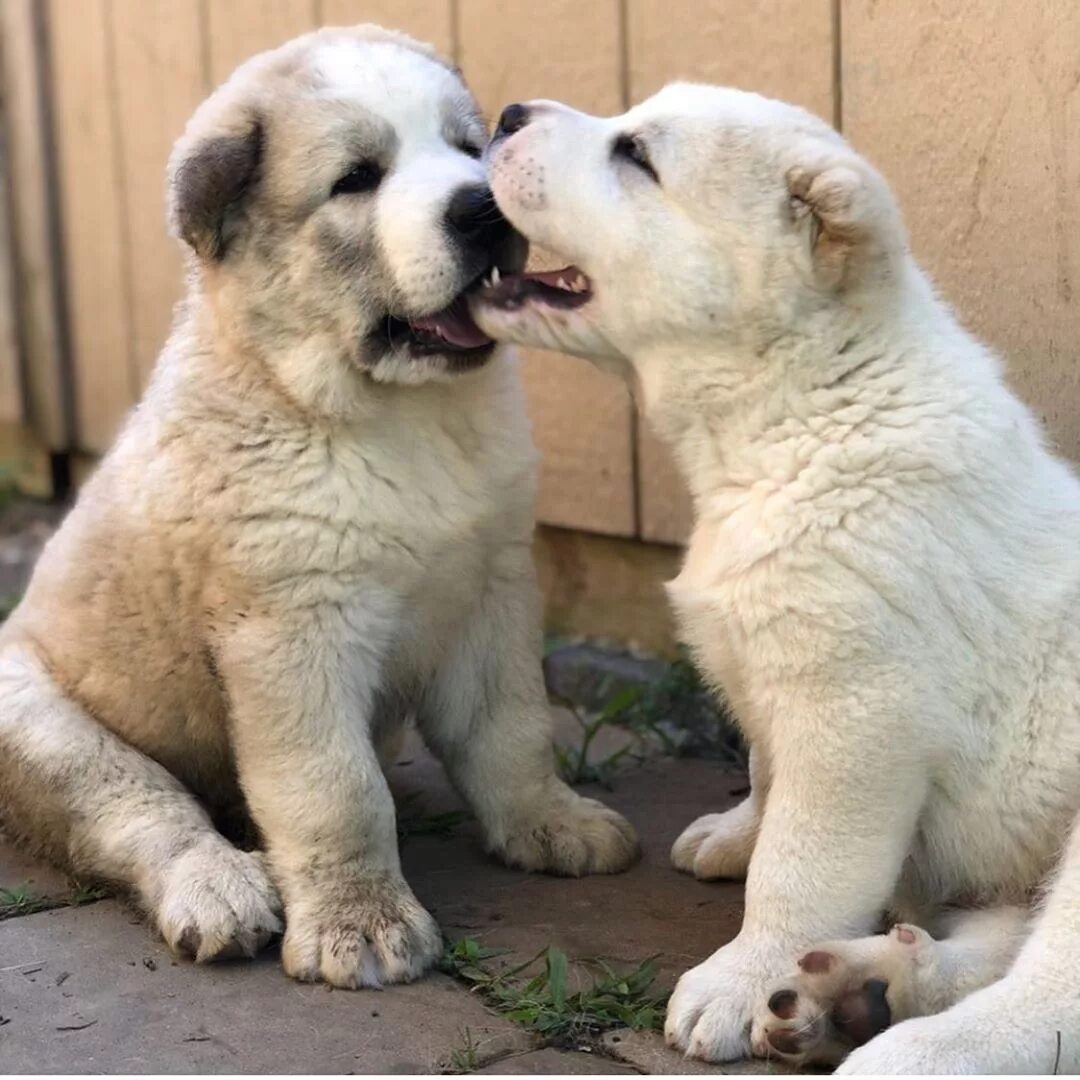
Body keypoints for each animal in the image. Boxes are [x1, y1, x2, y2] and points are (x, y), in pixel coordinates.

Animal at [470, 84, 1080, 1071]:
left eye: (635, 155)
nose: (511, 112)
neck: (802, 407)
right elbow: (764, 774)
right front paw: (731, 840)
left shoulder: (855, 711)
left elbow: (800, 863)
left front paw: (738, 978)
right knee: (998, 938)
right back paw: (858, 987)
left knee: (1050, 987)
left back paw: (906, 1047)